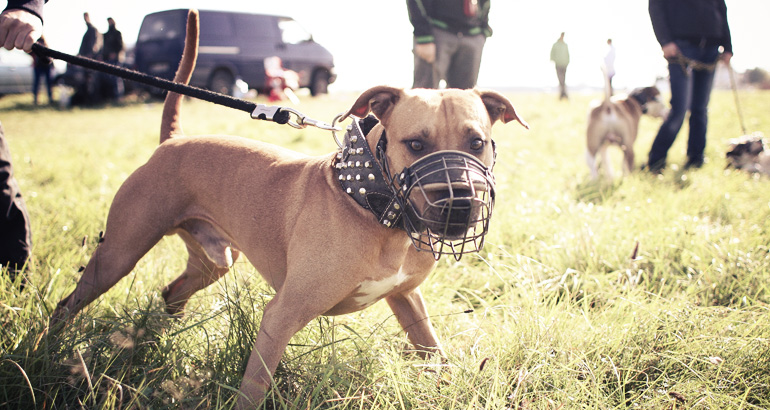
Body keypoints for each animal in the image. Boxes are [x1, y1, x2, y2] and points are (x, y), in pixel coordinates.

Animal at [48, 10, 528, 408]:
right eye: (415, 144)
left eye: (477, 142)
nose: (461, 203)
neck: (371, 202)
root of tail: (173, 141)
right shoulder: (281, 316)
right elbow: (254, 388)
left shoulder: (408, 300)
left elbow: (433, 351)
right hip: (119, 254)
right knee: (67, 305)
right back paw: (49, 354)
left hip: (212, 260)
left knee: (171, 293)